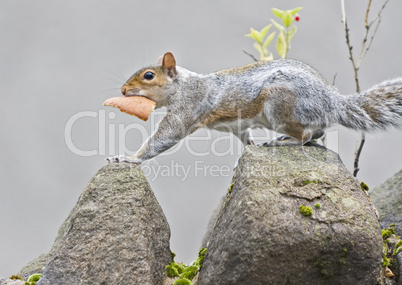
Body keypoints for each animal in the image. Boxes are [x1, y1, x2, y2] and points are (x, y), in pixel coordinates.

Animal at [107, 52, 402, 163]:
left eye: (148, 76)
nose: (122, 91)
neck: (182, 85)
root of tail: (332, 101)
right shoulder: (238, 126)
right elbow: (245, 137)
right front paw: (250, 147)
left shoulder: (188, 108)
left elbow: (165, 136)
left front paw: (130, 158)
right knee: (317, 133)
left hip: (280, 106)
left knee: (306, 135)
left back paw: (283, 142)